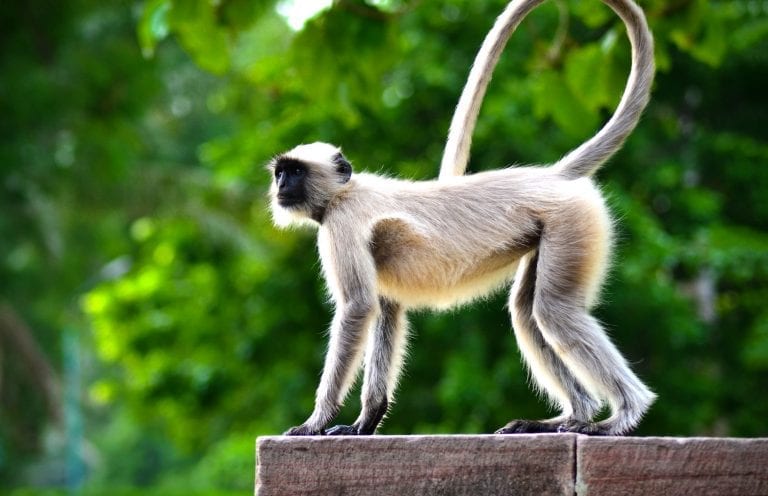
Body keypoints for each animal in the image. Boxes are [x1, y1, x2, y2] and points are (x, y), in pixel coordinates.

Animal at [268, 0, 656, 437]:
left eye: (295, 172)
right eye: (280, 172)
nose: (281, 186)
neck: (345, 192)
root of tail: (551, 176)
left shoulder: (342, 224)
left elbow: (358, 308)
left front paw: (316, 422)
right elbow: (387, 308)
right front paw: (364, 423)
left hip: (573, 223)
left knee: (554, 310)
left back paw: (622, 416)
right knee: (526, 312)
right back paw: (571, 416)